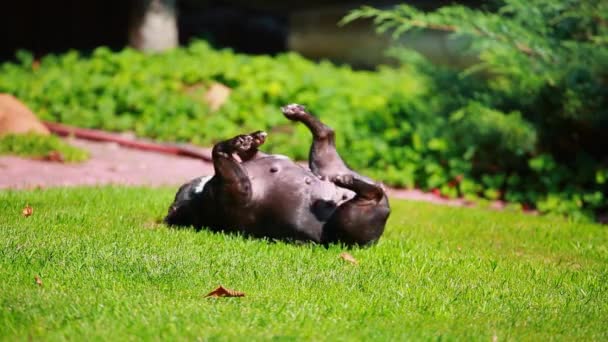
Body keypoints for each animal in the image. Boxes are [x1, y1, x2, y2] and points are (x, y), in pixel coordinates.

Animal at [164, 103, 390, 244]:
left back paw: (296, 114)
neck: (199, 197)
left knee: (326, 133)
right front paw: (237, 142)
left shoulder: (250, 164)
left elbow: (246, 152)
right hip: (346, 214)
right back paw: (347, 180)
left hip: (326, 165)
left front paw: (250, 140)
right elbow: (217, 150)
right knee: (370, 191)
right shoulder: (240, 187)